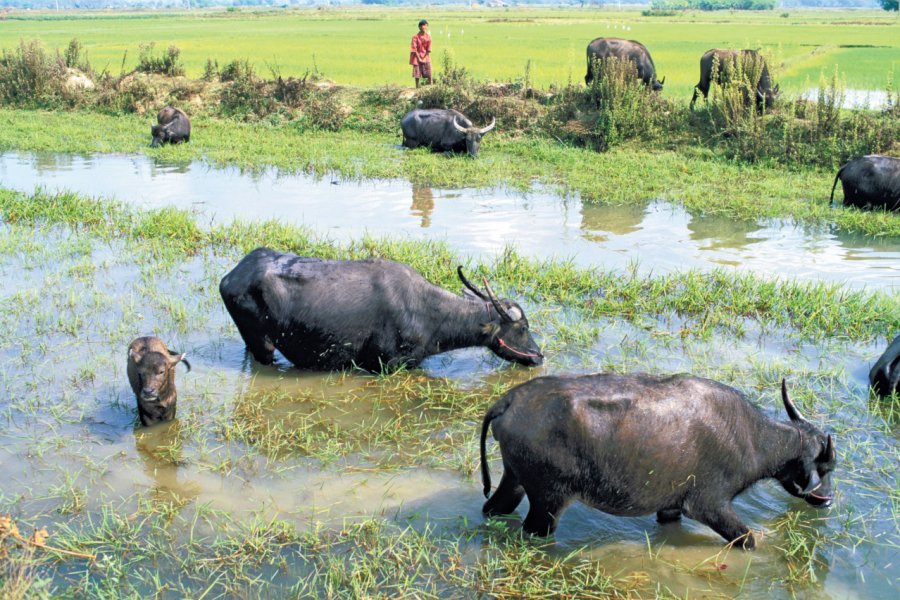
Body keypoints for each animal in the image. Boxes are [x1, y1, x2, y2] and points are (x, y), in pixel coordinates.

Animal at [218, 247, 540, 370]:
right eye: (523, 328)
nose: (539, 355)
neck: (428, 313)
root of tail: (232, 276)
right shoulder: (391, 365)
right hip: (263, 345)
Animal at [482, 378, 840, 552]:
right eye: (826, 468)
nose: (827, 499)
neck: (754, 438)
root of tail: (508, 401)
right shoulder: (710, 506)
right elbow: (747, 540)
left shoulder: (671, 507)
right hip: (549, 501)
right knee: (535, 530)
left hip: (513, 480)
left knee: (493, 508)